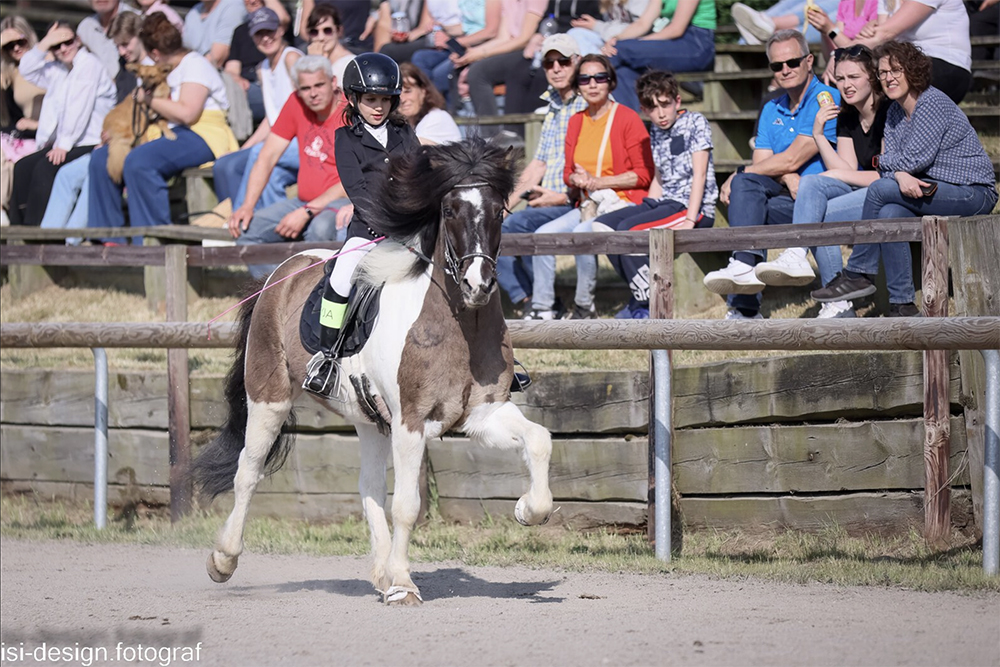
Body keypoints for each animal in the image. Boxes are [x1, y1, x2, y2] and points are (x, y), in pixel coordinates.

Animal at [191, 138, 560, 608]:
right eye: (450, 210)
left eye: (499, 211)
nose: (478, 285)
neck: (460, 324)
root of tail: (282, 272)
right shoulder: (410, 422)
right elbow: (407, 505)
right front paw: (404, 582)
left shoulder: (483, 414)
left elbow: (540, 440)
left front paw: (527, 510)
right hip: (268, 399)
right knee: (248, 472)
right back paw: (223, 560)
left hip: (370, 421)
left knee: (367, 486)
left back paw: (381, 574)